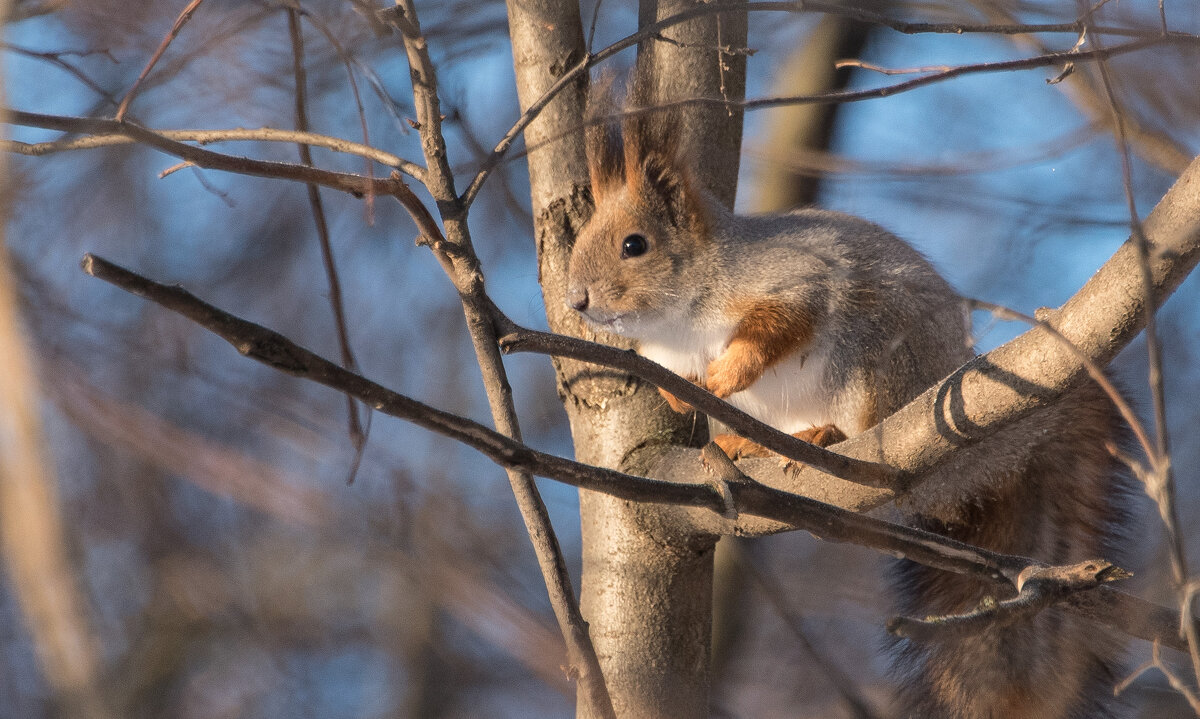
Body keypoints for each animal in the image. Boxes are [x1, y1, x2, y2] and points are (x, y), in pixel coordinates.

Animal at [566, 91, 1128, 719]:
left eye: (634, 245)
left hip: (871, 366)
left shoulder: (795, 280)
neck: (679, 316)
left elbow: (779, 324)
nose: (576, 301)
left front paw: (727, 373)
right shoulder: (668, 352)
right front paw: (685, 389)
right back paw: (744, 443)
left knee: (858, 424)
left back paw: (822, 439)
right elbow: (676, 376)